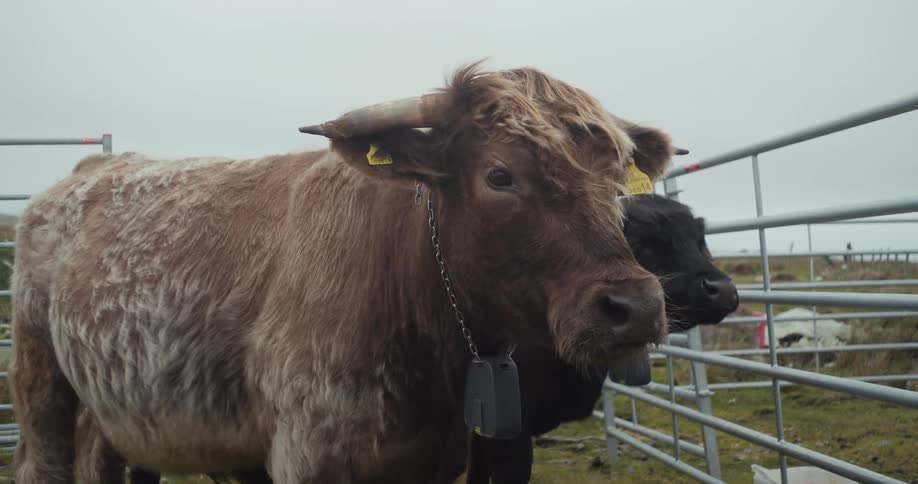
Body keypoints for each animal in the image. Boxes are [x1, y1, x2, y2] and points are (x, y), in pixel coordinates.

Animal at [10, 63, 675, 484]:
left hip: (108, 406)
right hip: (39, 378)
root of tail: (84, 173)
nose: (635, 307)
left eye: (617, 175)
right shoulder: (309, 455)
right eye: (499, 174)